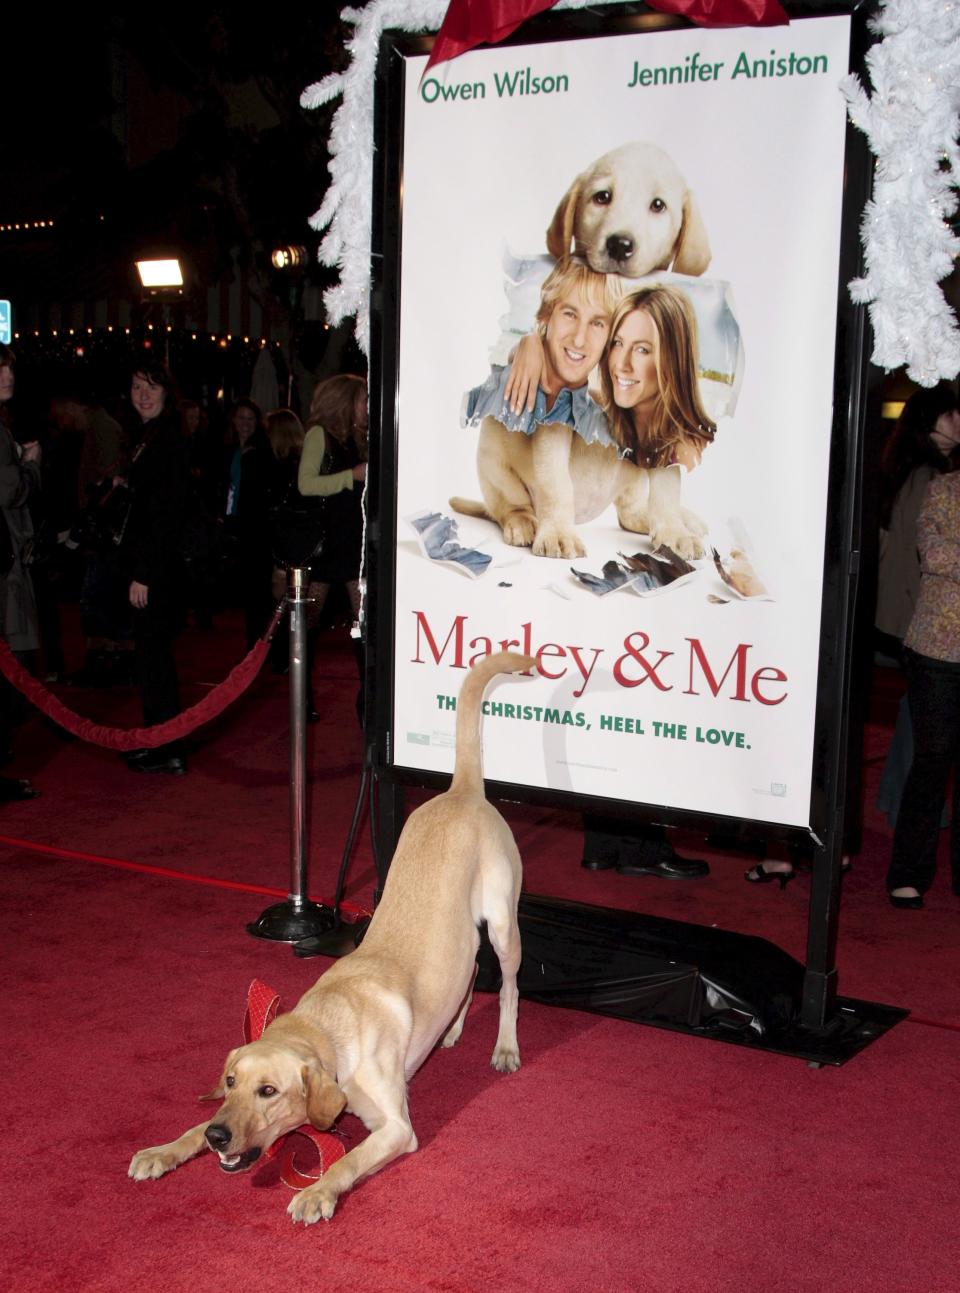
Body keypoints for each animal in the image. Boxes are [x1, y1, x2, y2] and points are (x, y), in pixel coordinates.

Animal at [128, 651, 538, 1225]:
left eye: (269, 1090)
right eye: (230, 1082)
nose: (219, 1136)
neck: (327, 1027)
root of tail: (461, 790)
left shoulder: (397, 1128)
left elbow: (347, 1160)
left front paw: (315, 1192)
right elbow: (188, 1129)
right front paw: (165, 1149)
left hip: (503, 922)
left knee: (508, 987)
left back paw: (504, 1046)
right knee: (473, 969)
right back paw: (452, 1029)